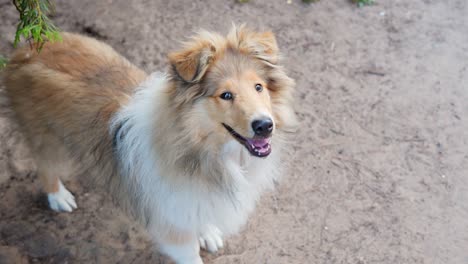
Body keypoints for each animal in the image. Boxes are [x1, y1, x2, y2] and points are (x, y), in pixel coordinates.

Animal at [2, 25, 296, 264]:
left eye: (258, 87)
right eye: (225, 95)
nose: (265, 125)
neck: (201, 151)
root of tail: (26, 48)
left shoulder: (192, 202)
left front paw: (207, 232)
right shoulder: (172, 226)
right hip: (48, 139)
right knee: (45, 166)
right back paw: (59, 197)